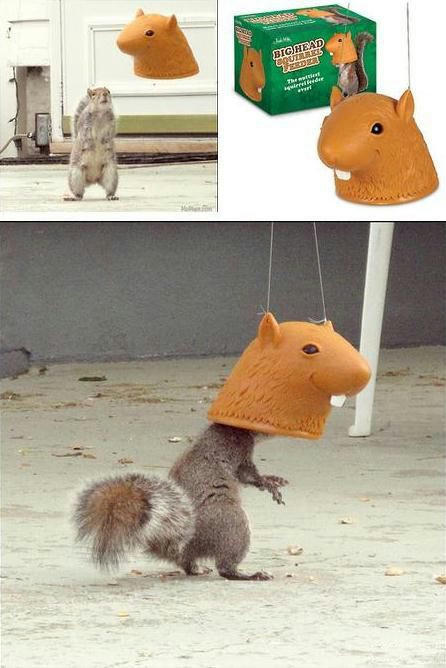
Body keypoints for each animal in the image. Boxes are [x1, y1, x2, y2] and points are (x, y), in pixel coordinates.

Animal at [74, 424, 287, 580]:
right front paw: (268, 482)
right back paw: (249, 575)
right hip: (231, 523)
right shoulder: (237, 450)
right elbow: (247, 474)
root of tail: (179, 544)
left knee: (188, 563)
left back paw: (197, 569)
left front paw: (273, 481)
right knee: (225, 567)